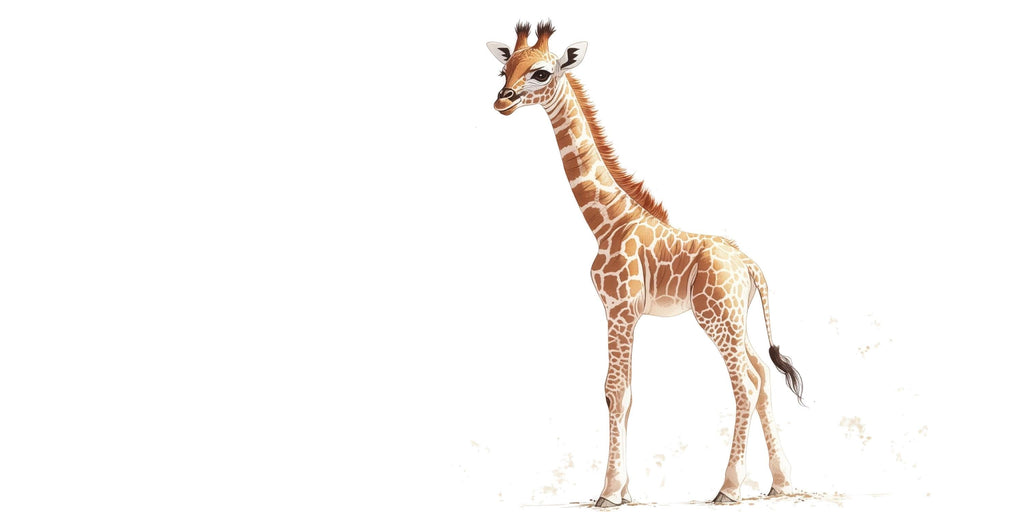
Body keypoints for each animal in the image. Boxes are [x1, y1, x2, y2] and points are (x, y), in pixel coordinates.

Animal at [486, 21, 806, 506]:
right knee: (764, 376)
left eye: (542, 73)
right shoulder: (627, 314)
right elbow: (628, 394)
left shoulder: (618, 309)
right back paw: (782, 482)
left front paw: (608, 492)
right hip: (737, 319)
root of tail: (751, 266)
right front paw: (626, 490)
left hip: (716, 318)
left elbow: (614, 392)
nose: (502, 100)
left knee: (745, 384)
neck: (608, 221)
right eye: (504, 69)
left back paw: (729, 487)